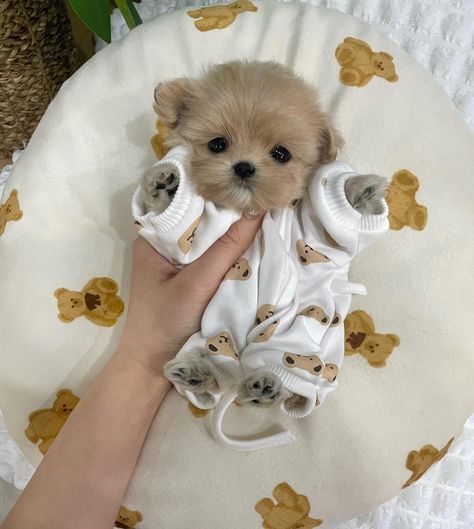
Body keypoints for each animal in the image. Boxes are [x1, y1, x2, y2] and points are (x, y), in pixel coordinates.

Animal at [145, 62, 388, 406]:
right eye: (218, 144)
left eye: (281, 153)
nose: (244, 167)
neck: (252, 209)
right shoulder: (195, 241)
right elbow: (179, 238)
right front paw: (166, 183)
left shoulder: (313, 235)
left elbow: (334, 232)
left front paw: (357, 192)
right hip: (211, 333)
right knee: (216, 368)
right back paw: (198, 373)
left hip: (297, 338)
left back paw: (266, 386)